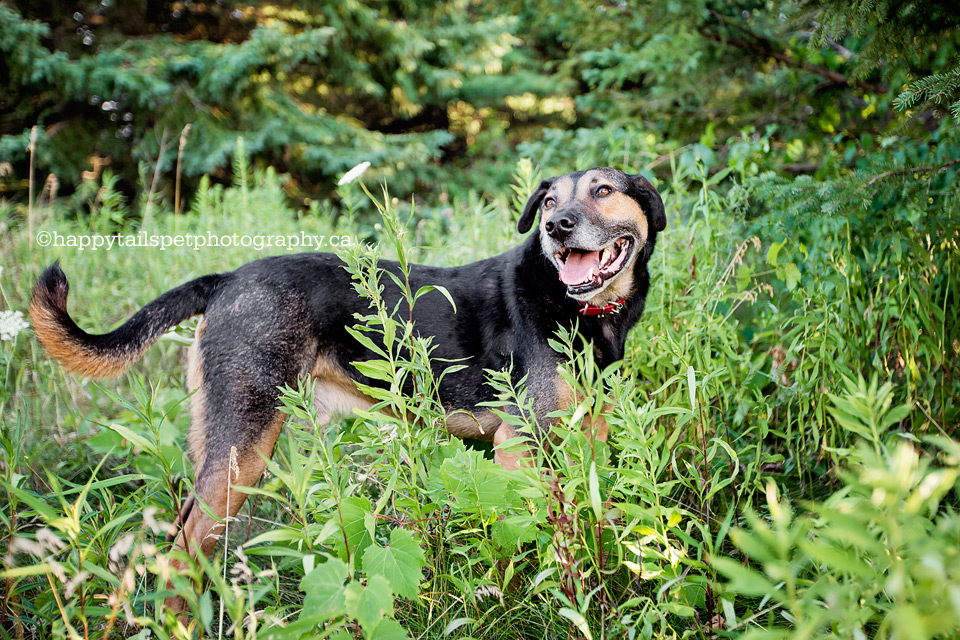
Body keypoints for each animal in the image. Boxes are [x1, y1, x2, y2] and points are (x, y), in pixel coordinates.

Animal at [28, 168, 660, 612]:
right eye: (549, 202)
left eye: (604, 191)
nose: (556, 228)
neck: (581, 309)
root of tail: (226, 279)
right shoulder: (520, 443)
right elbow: (545, 539)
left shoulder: (587, 437)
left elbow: (594, 521)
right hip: (246, 445)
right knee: (181, 550)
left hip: (218, 438)